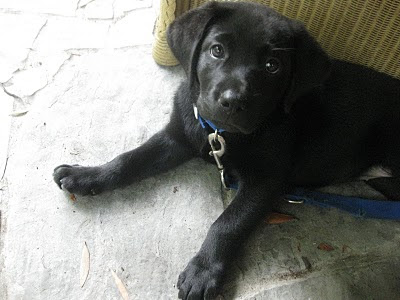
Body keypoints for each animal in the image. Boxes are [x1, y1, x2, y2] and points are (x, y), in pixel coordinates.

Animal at [53, 1, 400, 298]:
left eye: (273, 66)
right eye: (216, 50)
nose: (233, 101)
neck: (220, 134)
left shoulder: (266, 180)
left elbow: (229, 223)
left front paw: (203, 272)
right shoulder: (178, 136)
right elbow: (130, 160)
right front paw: (86, 176)